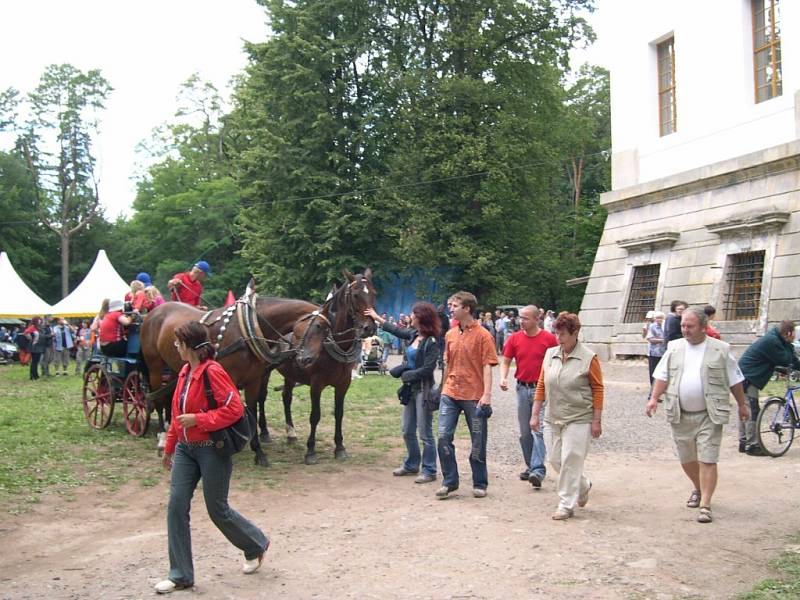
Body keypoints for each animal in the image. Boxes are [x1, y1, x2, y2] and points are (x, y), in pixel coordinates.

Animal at [140, 296, 324, 468]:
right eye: (318, 327)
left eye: (325, 328)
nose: (307, 359)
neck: (247, 330)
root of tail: (154, 312)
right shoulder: (229, 379)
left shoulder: (253, 381)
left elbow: (251, 409)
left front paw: (258, 452)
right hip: (155, 366)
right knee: (157, 398)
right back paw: (162, 437)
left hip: (173, 367)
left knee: (171, 396)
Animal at [260, 270, 378, 466]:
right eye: (355, 295)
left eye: (374, 293)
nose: (369, 328)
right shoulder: (316, 384)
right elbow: (315, 415)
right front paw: (310, 451)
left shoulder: (343, 384)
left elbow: (339, 413)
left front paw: (340, 447)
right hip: (263, 371)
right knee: (261, 398)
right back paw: (263, 431)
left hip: (290, 374)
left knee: (286, 397)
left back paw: (290, 433)